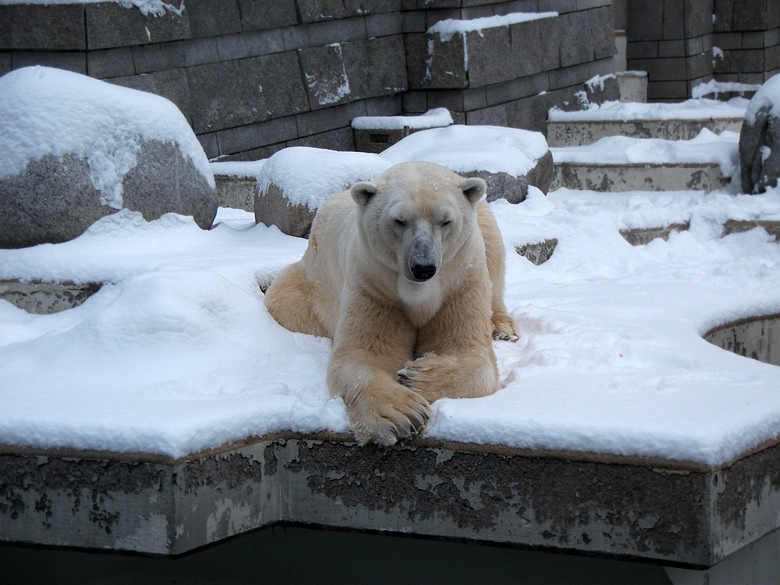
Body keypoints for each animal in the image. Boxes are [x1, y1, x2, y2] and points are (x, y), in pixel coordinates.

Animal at [266, 160, 516, 442]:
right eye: (399, 220)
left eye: (445, 221)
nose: (423, 267)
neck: (418, 292)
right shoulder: (374, 285)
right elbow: (362, 357)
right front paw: (402, 413)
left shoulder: (459, 283)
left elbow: (470, 354)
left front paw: (416, 376)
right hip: (307, 285)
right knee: (284, 300)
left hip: (482, 228)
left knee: (494, 255)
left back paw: (503, 327)